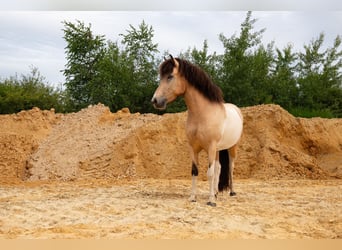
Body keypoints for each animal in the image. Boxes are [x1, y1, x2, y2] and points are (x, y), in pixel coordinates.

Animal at [152, 54, 243, 207]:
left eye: (170, 76)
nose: (155, 101)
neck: (203, 115)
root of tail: (236, 109)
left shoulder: (210, 147)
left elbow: (209, 173)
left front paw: (211, 201)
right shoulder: (193, 148)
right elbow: (195, 171)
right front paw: (193, 197)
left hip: (232, 147)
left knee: (231, 167)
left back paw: (232, 192)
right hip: (218, 150)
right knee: (219, 168)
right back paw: (216, 193)